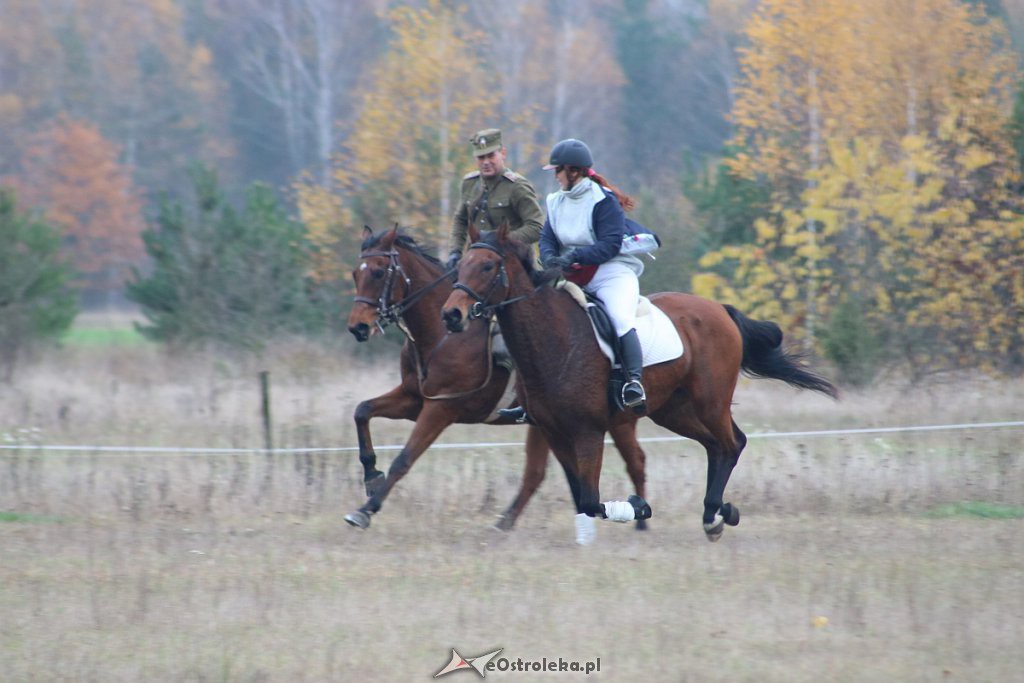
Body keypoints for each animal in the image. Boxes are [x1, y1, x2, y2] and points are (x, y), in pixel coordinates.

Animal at [342, 227, 647, 536]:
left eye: (378, 272)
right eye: (356, 273)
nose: (358, 327)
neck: (442, 335)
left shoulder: (441, 408)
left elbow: (404, 458)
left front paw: (365, 510)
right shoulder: (414, 398)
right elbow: (362, 411)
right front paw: (371, 475)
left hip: (617, 421)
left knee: (634, 460)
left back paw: (638, 521)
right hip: (545, 424)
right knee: (537, 473)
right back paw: (508, 523)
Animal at [442, 227, 839, 540]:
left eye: (488, 266)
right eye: (460, 265)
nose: (451, 315)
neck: (554, 340)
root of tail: (720, 309)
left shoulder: (588, 431)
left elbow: (590, 498)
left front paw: (638, 508)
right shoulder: (553, 431)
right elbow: (580, 495)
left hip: (710, 402)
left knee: (731, 444)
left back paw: (715, 514)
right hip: (673, 410)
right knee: (718, 445)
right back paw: (715, 513)